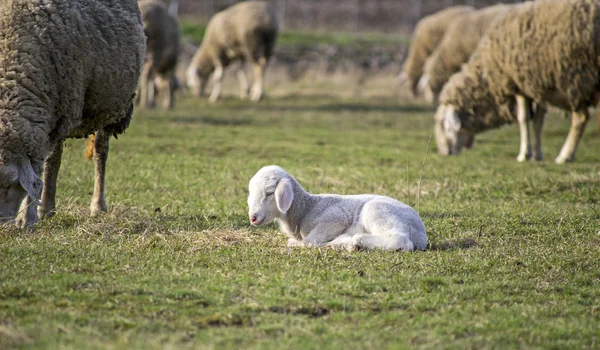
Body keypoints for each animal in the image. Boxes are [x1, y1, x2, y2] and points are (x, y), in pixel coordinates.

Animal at [0, 0, 145, 227]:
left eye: (10, 183)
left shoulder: (56, 114)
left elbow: (40, 168)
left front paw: (28, 218)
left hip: (106, 106)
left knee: (100, 152)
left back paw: (97, 206)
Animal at [246, 165, 428, 250]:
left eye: (270, 192)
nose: (252, 217)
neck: (306, 208)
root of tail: (421, 234)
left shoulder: (336, 218)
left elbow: (310, 241)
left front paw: (296, 244)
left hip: (378, 212)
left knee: (401, 240)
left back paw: (356, 241)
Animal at [434, 0, 596, 164]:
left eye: (443, 125)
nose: (443, 153)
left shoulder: (518, 85)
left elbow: (523, 119)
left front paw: (524, 155)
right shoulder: (538, 86)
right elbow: (538, 122)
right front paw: (537, 155)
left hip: (576, 78)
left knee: (581, 117)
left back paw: (565, 155)